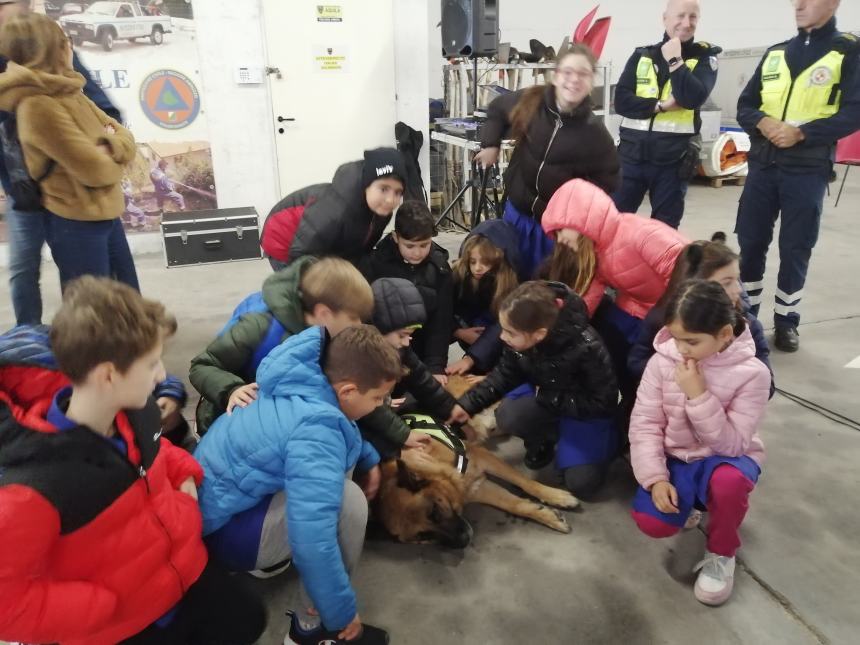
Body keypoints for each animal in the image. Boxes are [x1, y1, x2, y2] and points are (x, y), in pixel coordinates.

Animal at [374, 412, 576, 548]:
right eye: (423, 537)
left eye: (434, 511)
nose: (463, 541)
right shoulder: (478, 488)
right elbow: (515, 505)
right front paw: (548, 516)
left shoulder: (482, 458)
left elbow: (525, 482)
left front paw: (557, 496)